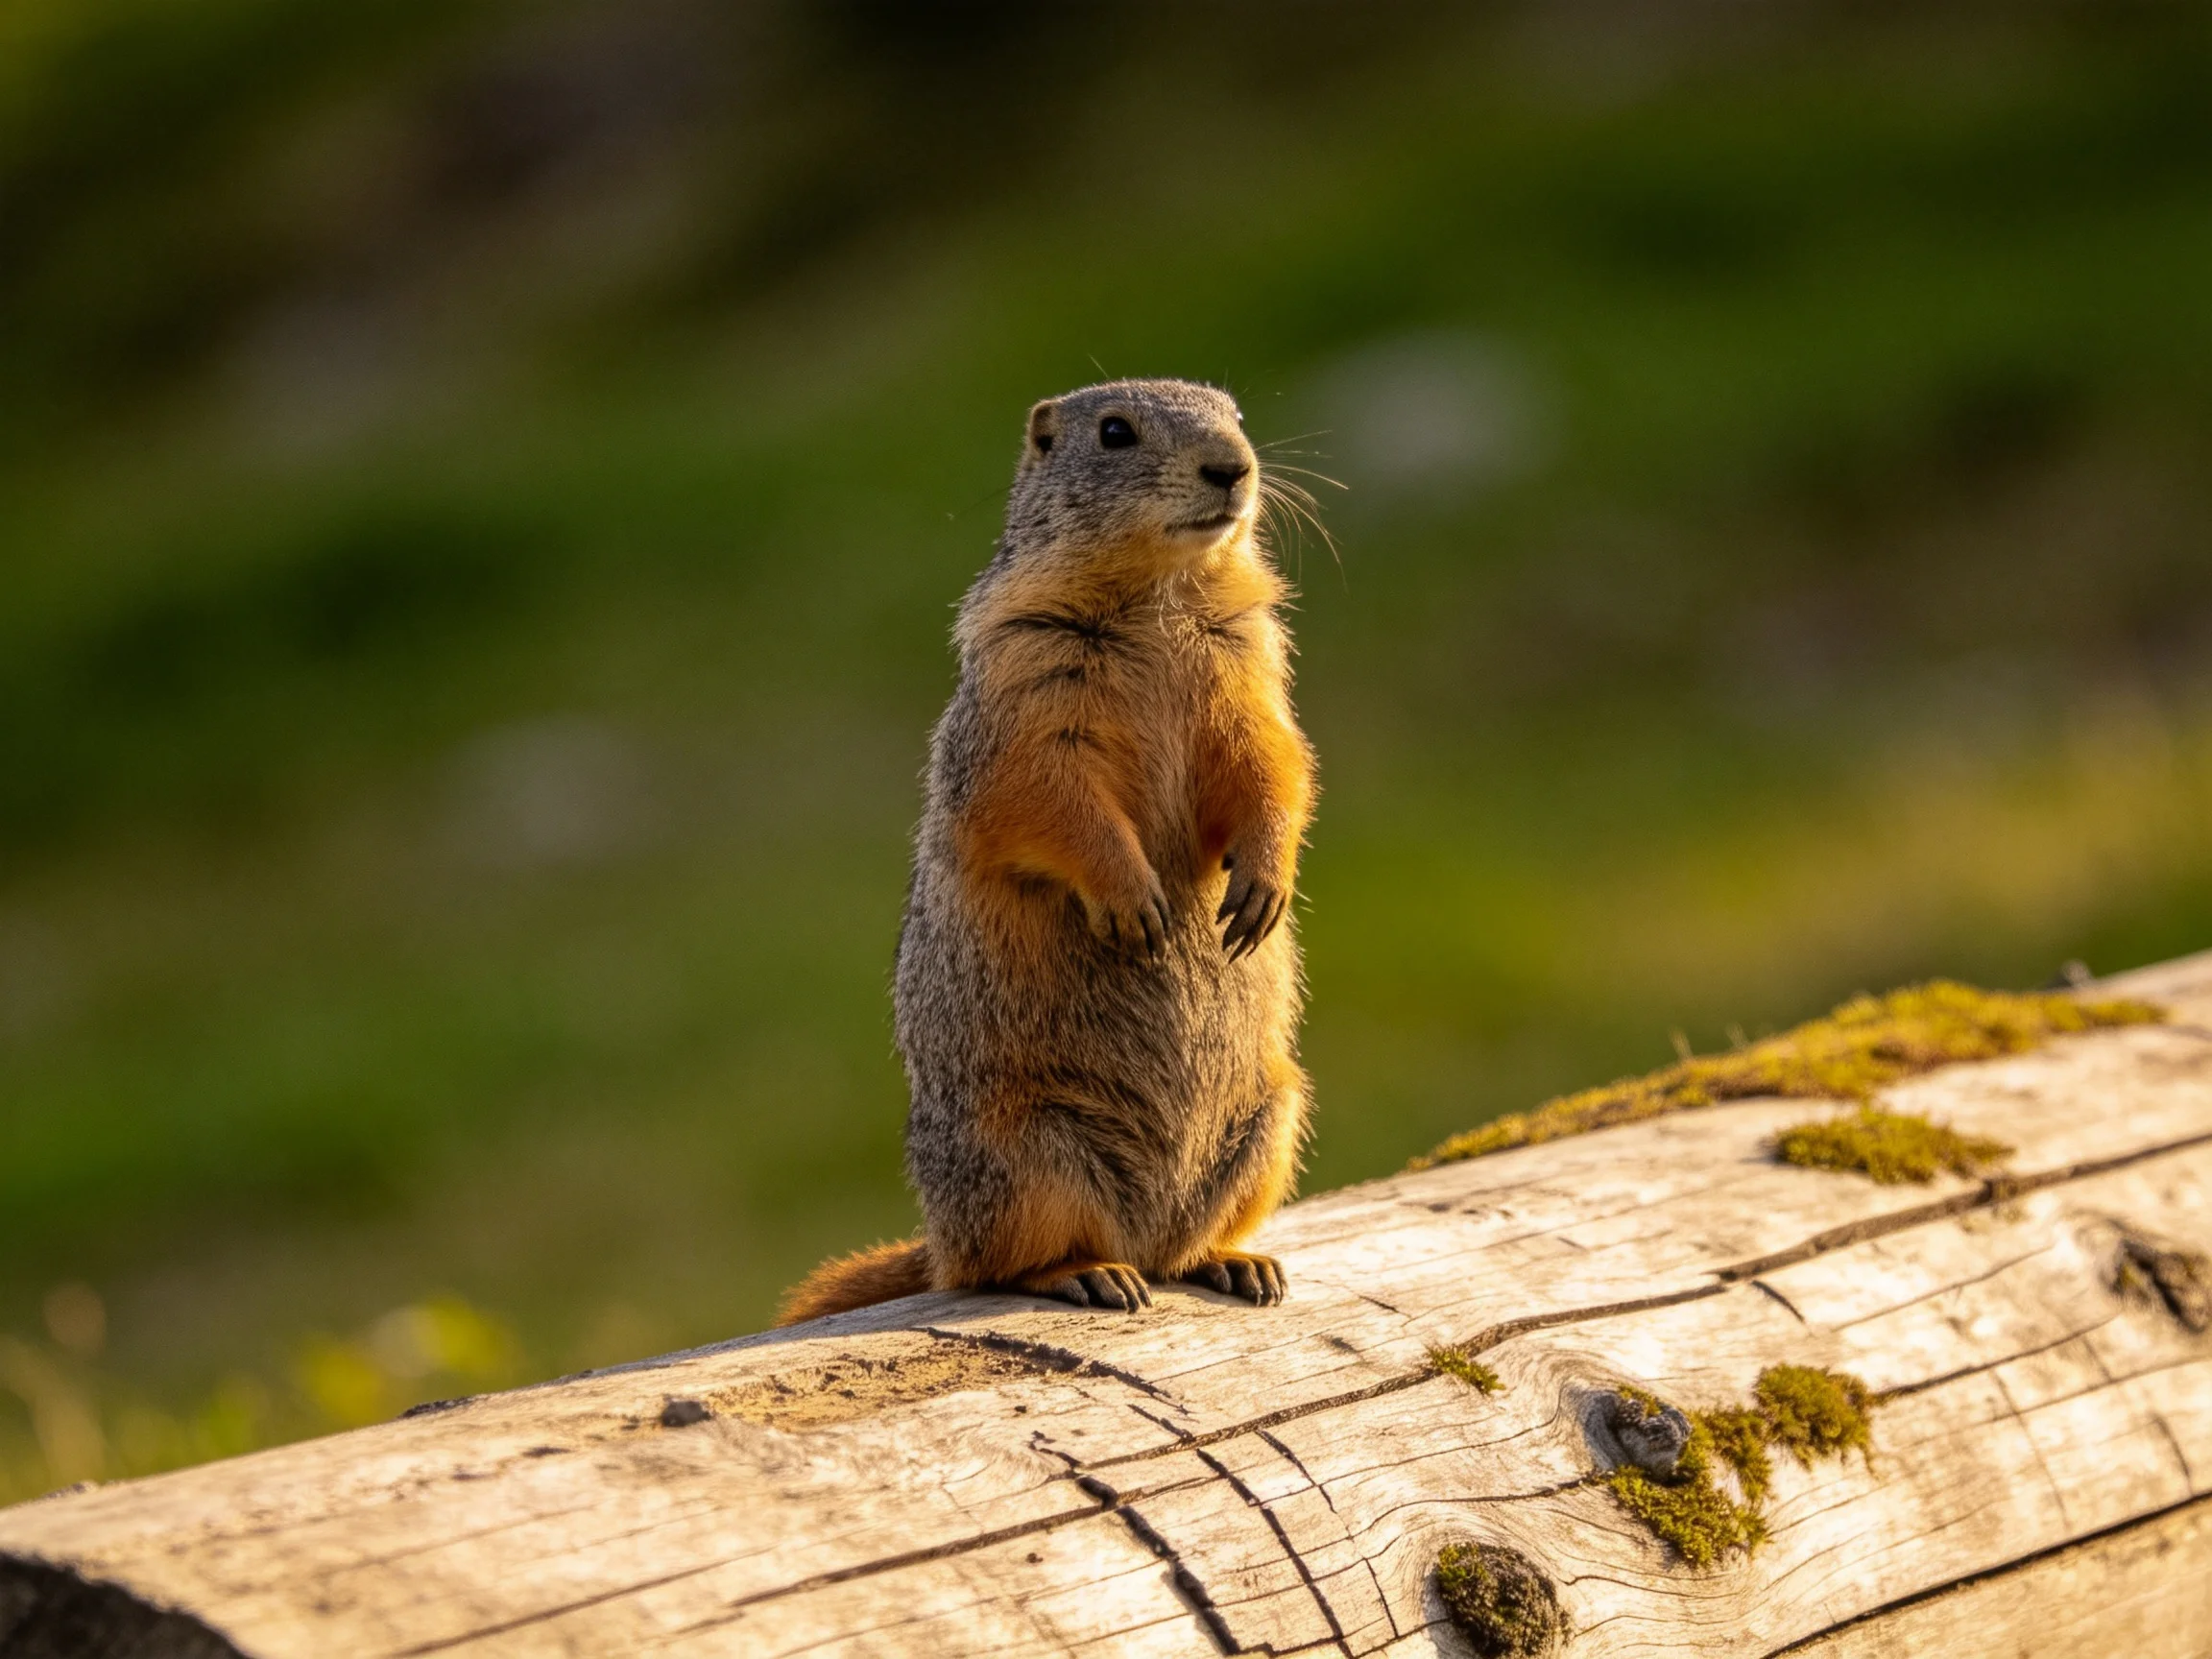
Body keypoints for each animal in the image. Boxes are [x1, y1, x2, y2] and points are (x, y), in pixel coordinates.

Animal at [778, 378, 1315, 1323]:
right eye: (1114, 432)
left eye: (1237, 415)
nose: (1234, 467)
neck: (1160, 597)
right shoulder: (1027, 679)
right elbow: (1048, 793)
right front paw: (1136, 901)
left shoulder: (1249, 671)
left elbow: (1272, 761)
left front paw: (1261, 888)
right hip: (1022, 1153)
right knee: (1000, 1266)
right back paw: (1087, 1273)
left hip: (1274, 1113)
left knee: (1184, 1246)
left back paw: (1236, 1261)